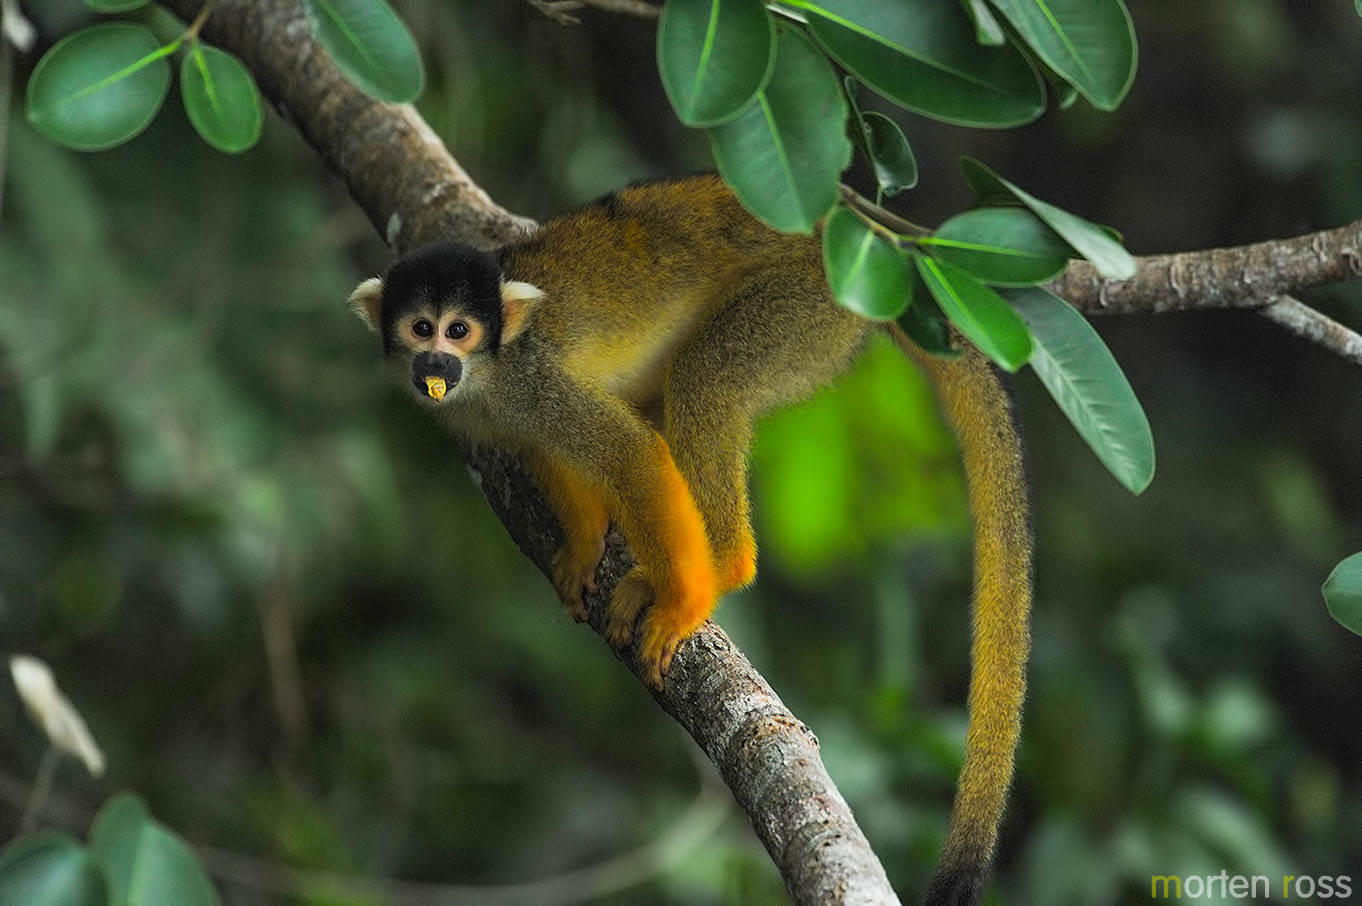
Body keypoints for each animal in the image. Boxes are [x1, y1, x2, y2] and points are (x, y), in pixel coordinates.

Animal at [347, 174, 1032, 906]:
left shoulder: (534, 382)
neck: (488, 373)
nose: (436, 360)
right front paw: (584, 547)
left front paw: (680, 600)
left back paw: (720, 566)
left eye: (459, 330)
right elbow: (549, 454)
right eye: (420, 328)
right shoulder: (501, 411)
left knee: (709, 377)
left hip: (808, 307)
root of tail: (863, 241)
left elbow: (629, 455)